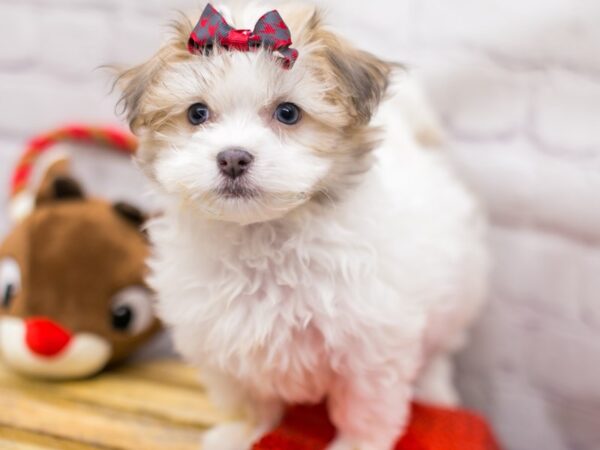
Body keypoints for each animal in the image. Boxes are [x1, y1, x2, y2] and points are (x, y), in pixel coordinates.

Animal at [116, 1, 488, 448]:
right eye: (197, 113)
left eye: (287, 113)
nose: (233, 157)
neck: (262, 234)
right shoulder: (221, 337)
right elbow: (246, 399)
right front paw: (240, 432)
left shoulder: (370, 342)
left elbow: (366, 408)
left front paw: (356, 444)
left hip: (457, 295)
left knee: (439, 352)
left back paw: (436, 392)